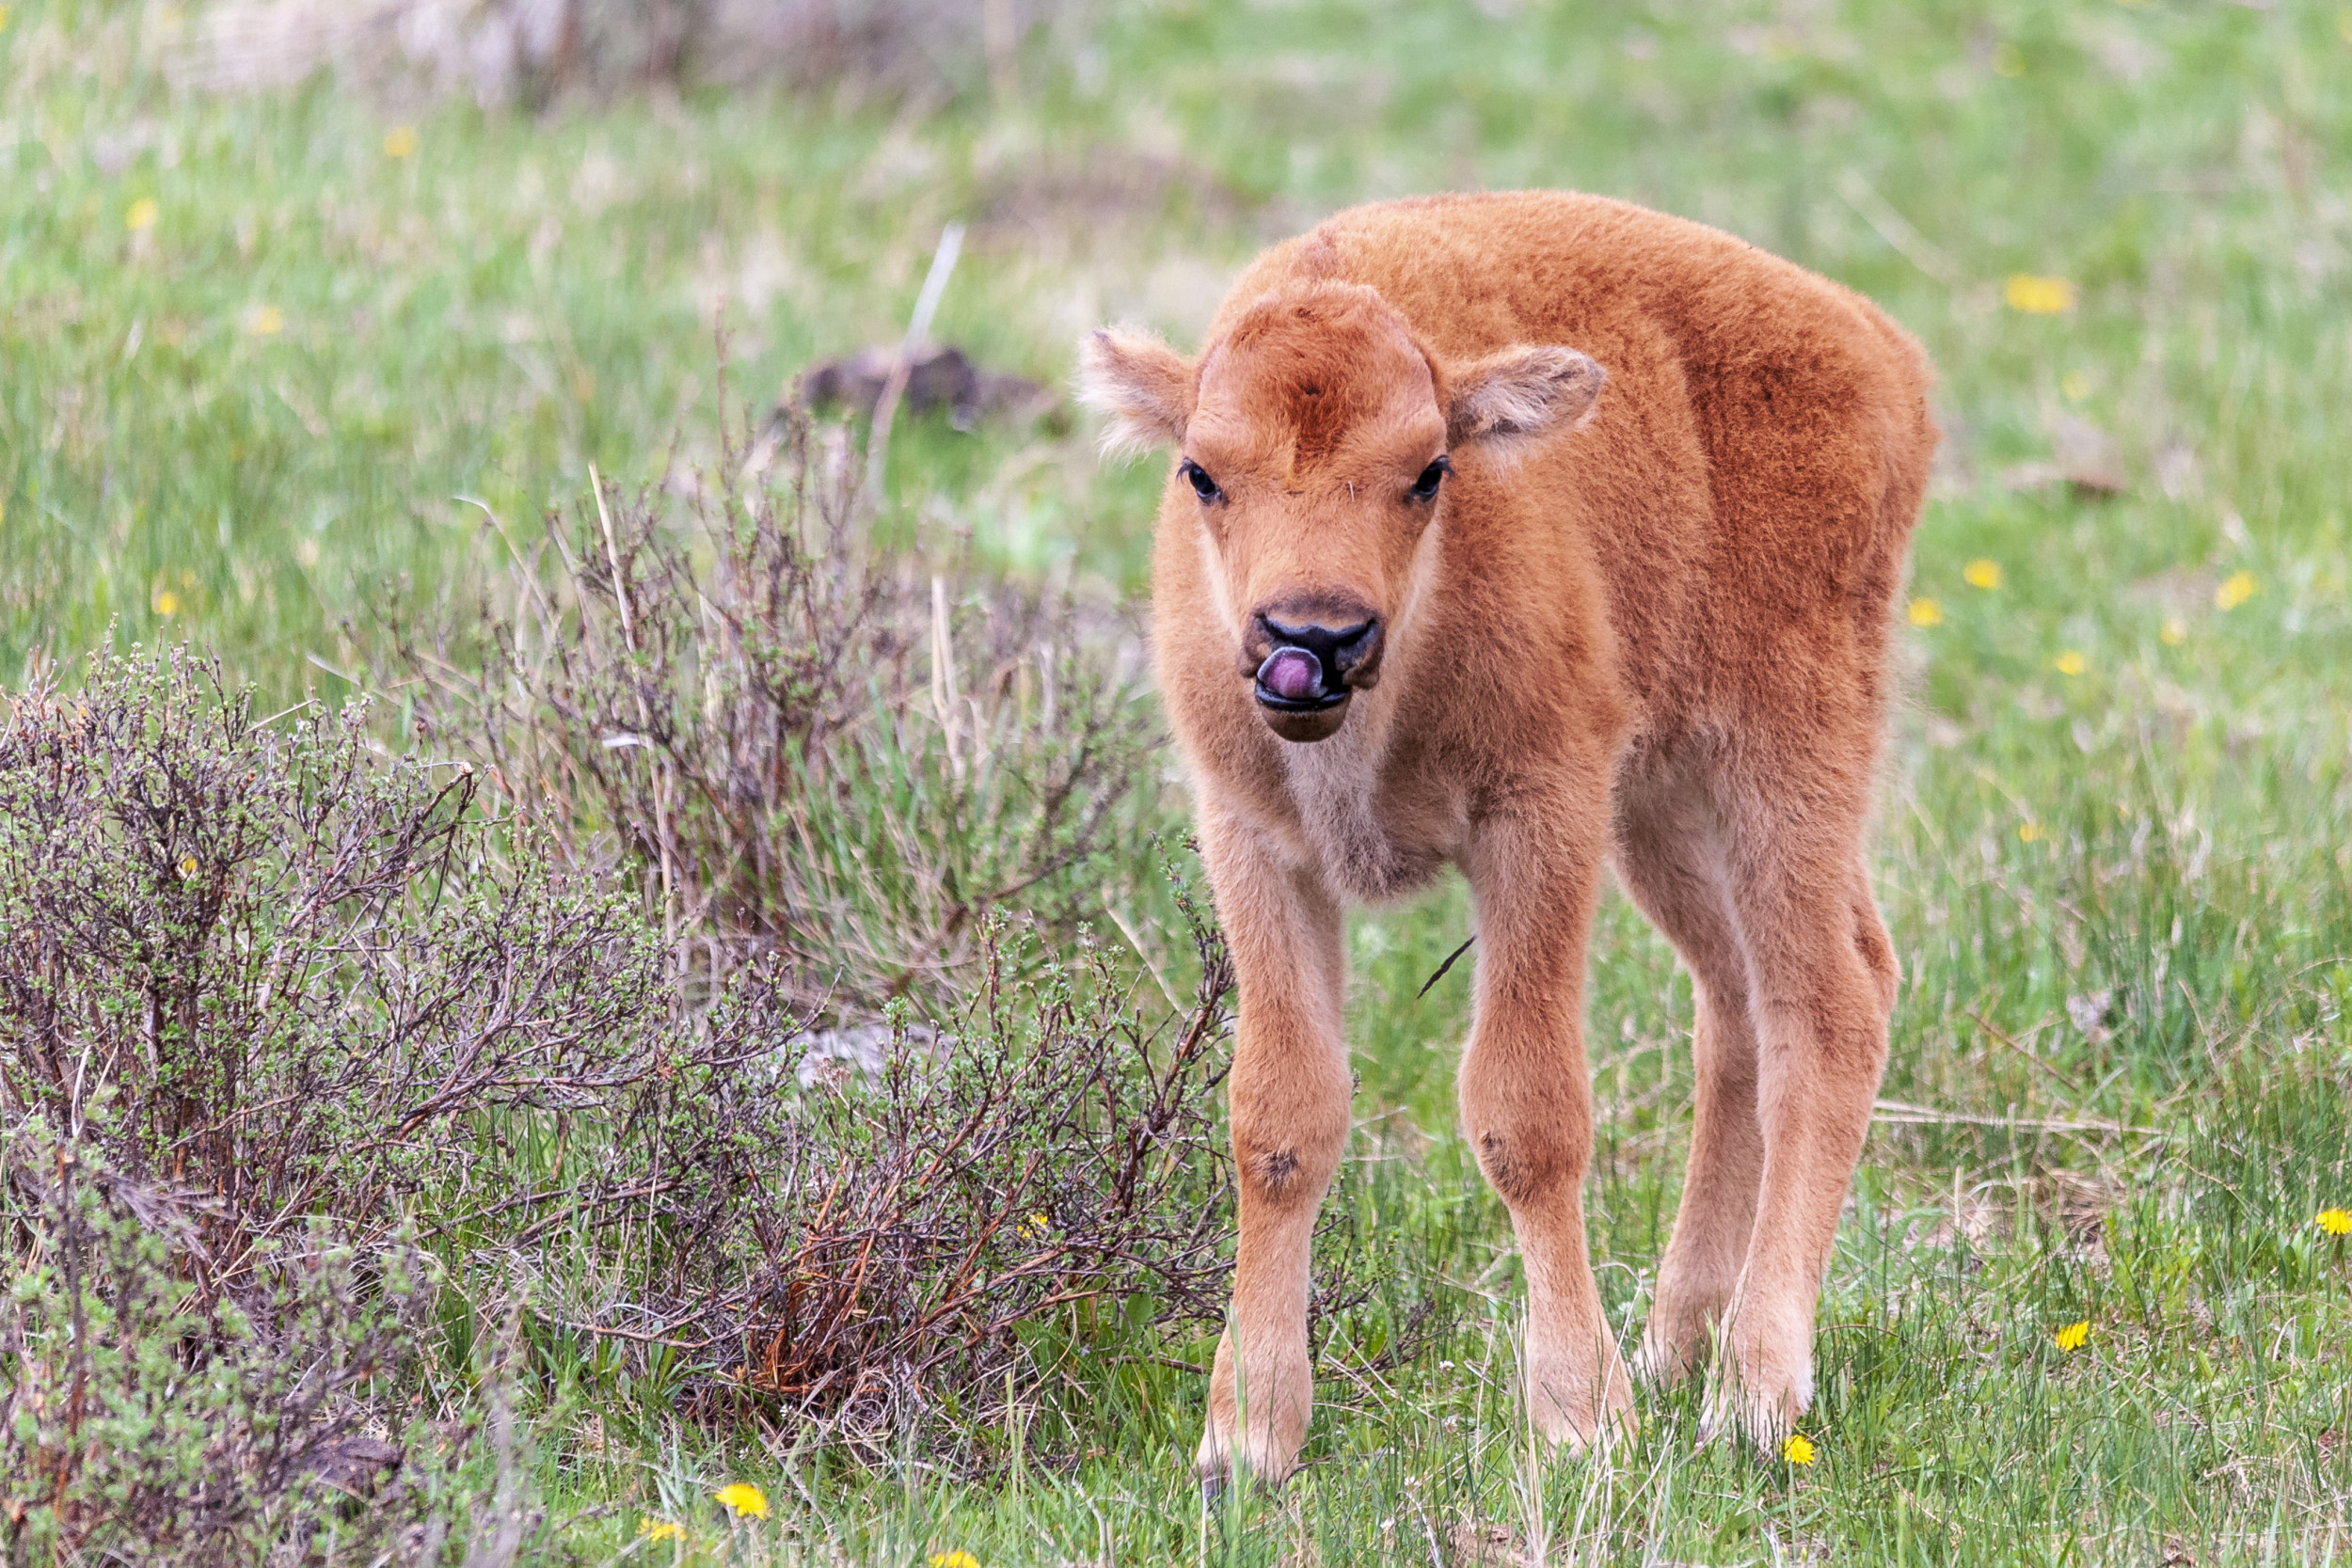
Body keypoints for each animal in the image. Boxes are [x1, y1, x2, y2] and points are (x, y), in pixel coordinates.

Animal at [1082, 192, 1929, 1485]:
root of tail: (1881, 353)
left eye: (1429, 470)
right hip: (1664, 803)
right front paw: (1248, 1437)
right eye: (1201, 473)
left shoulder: (1538, 820)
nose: (1312, 637)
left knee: (1827, 1002)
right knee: (1737, 1007)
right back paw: (1676, 1344)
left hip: (1781, 753)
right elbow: (1280, 1114)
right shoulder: (1253, 842)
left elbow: (1526, 1112)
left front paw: (1580, 1418)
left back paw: (1750, 1391)